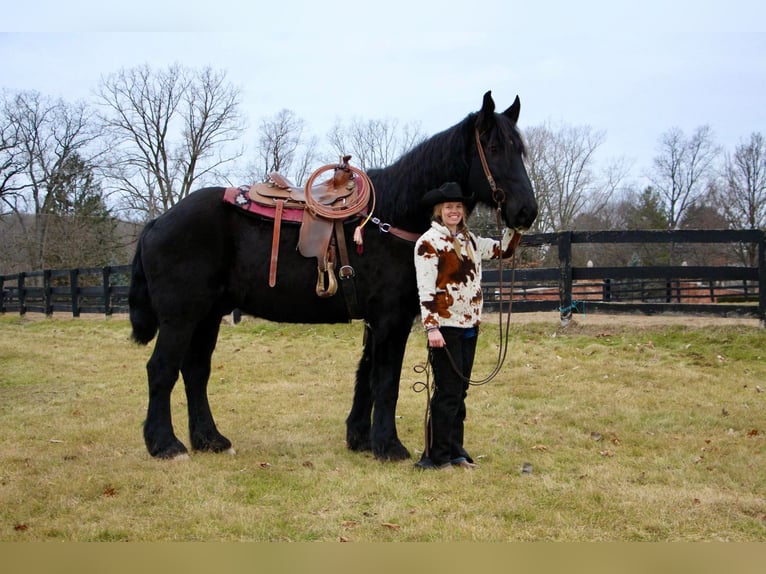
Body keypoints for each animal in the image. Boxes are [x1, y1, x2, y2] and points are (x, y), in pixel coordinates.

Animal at [129, 92, 536, 462]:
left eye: (521, 151)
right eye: (494, 147)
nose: (526, 211)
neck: (390, 216)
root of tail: (157, 222)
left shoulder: (377, 321)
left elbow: (366, 376)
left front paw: (361, 439)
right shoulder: (391, 319)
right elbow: (386, 381)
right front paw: (389, 446)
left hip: (208, 315)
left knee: (195, 371)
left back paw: (210, 439)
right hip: (181, 317)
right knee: (161, 370)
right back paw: (165, 445)